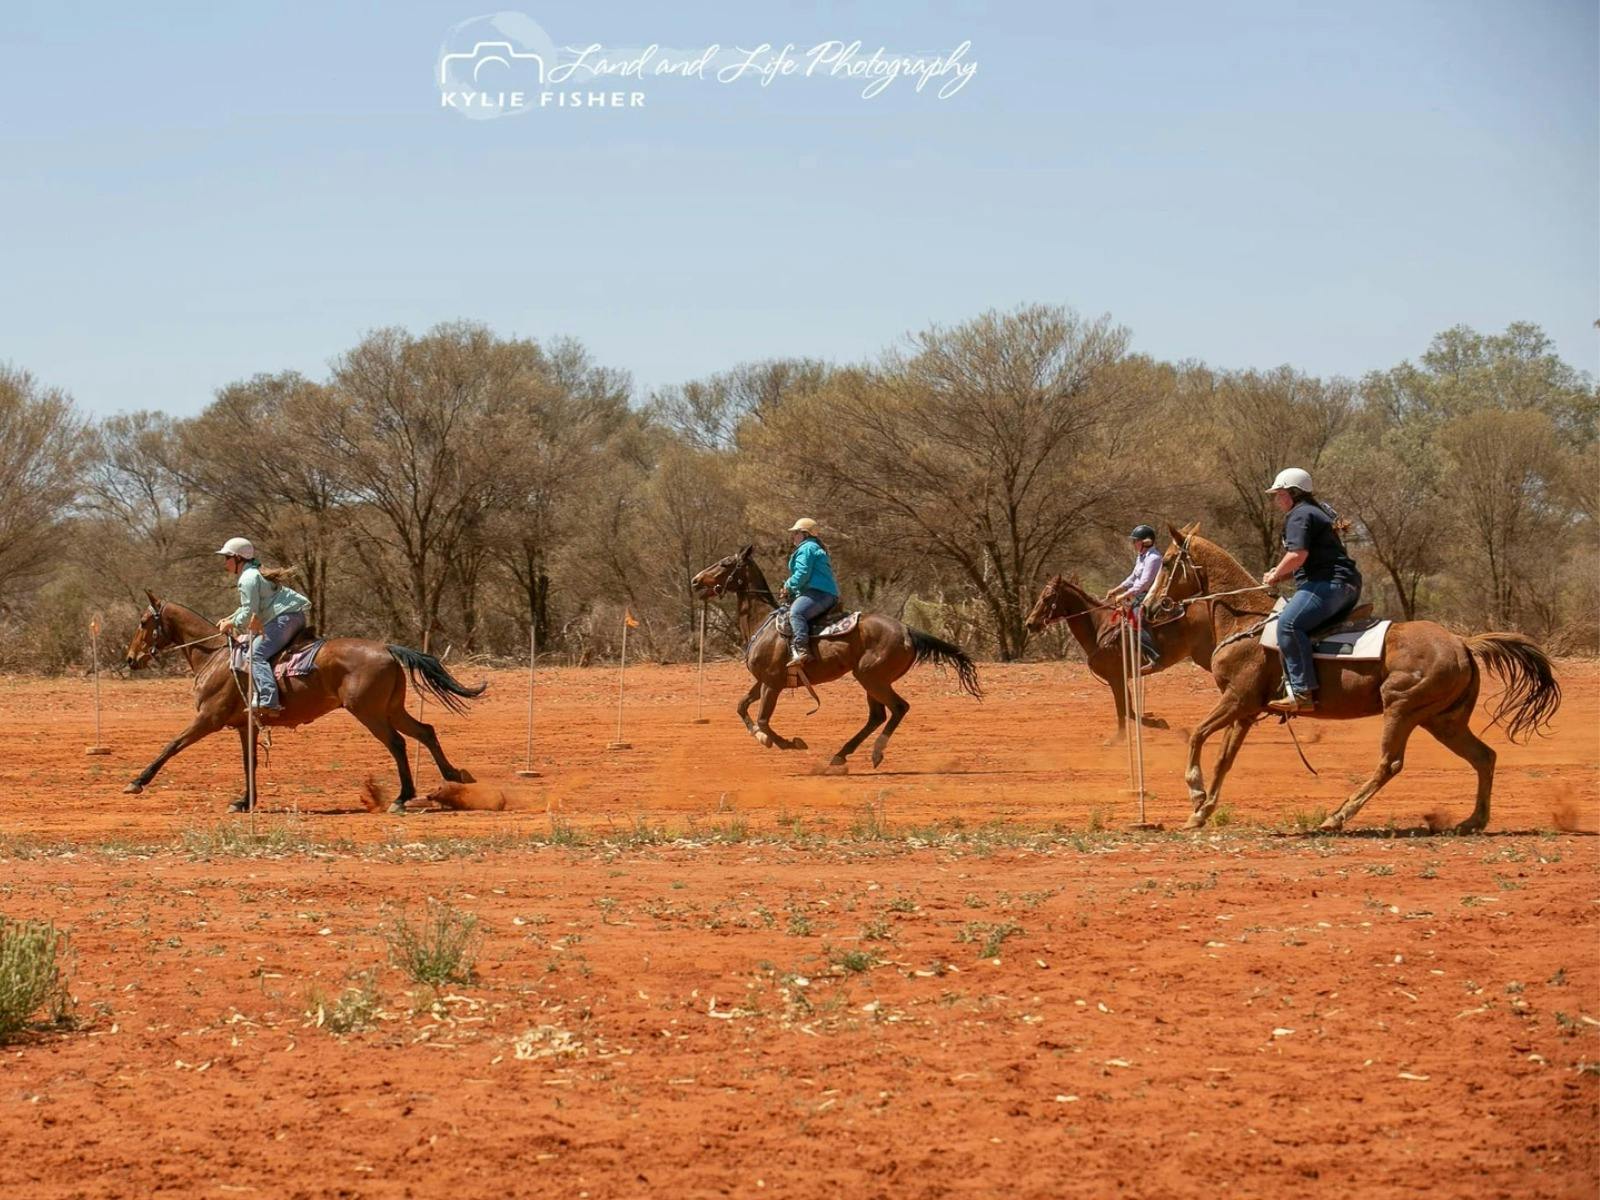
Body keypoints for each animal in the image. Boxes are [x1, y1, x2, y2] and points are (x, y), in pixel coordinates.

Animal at [123, 591, 486, 813]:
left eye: (143, 622)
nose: (130, 659)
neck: (215, 657)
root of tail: (387, 648)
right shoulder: (244, 725)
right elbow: (249, 762)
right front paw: (245, 801)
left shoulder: (207, 719)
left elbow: (171, 745)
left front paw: (137, 782)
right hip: (392, 709)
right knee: (425, 731)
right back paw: (453, 778)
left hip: (369, 712)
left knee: (398, 743)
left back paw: (401, 798)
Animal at [690, 546, 982, 768]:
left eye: (725, 563)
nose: (695, 580)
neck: (764, 623)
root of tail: (907, 629)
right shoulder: (763, 681)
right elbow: (741, 706)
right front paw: (761, 736)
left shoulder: (772, 684)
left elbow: (763, 719)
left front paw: (788, 743)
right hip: (871, 681)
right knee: (877, 716)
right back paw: (841, 755)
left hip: (871, 678)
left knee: (898, 708)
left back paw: (874, 752)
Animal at [1024, 574, 1197, 743]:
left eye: (1048, 597)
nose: (1030, 624)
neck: (1099, 628)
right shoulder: (1119, 678)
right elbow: (1126, 709)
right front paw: (1123, 735)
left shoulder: (1116, 677)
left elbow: (1125, 708)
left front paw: (1154, 724)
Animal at [1144, 526, 1560, 832]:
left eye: (1167, 562)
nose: (1149, 607)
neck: (1245, 621)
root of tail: (1461, 643)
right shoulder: (1245, 712)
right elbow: (1223, 759)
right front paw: (1201, 811)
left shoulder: (1237, 700)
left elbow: (1197, 735)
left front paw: (1195, 792)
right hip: (1442, 720)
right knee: (1484, 757)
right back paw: (1472, 820)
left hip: (1402, 708)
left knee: (1389, 764)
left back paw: (1336, 817)